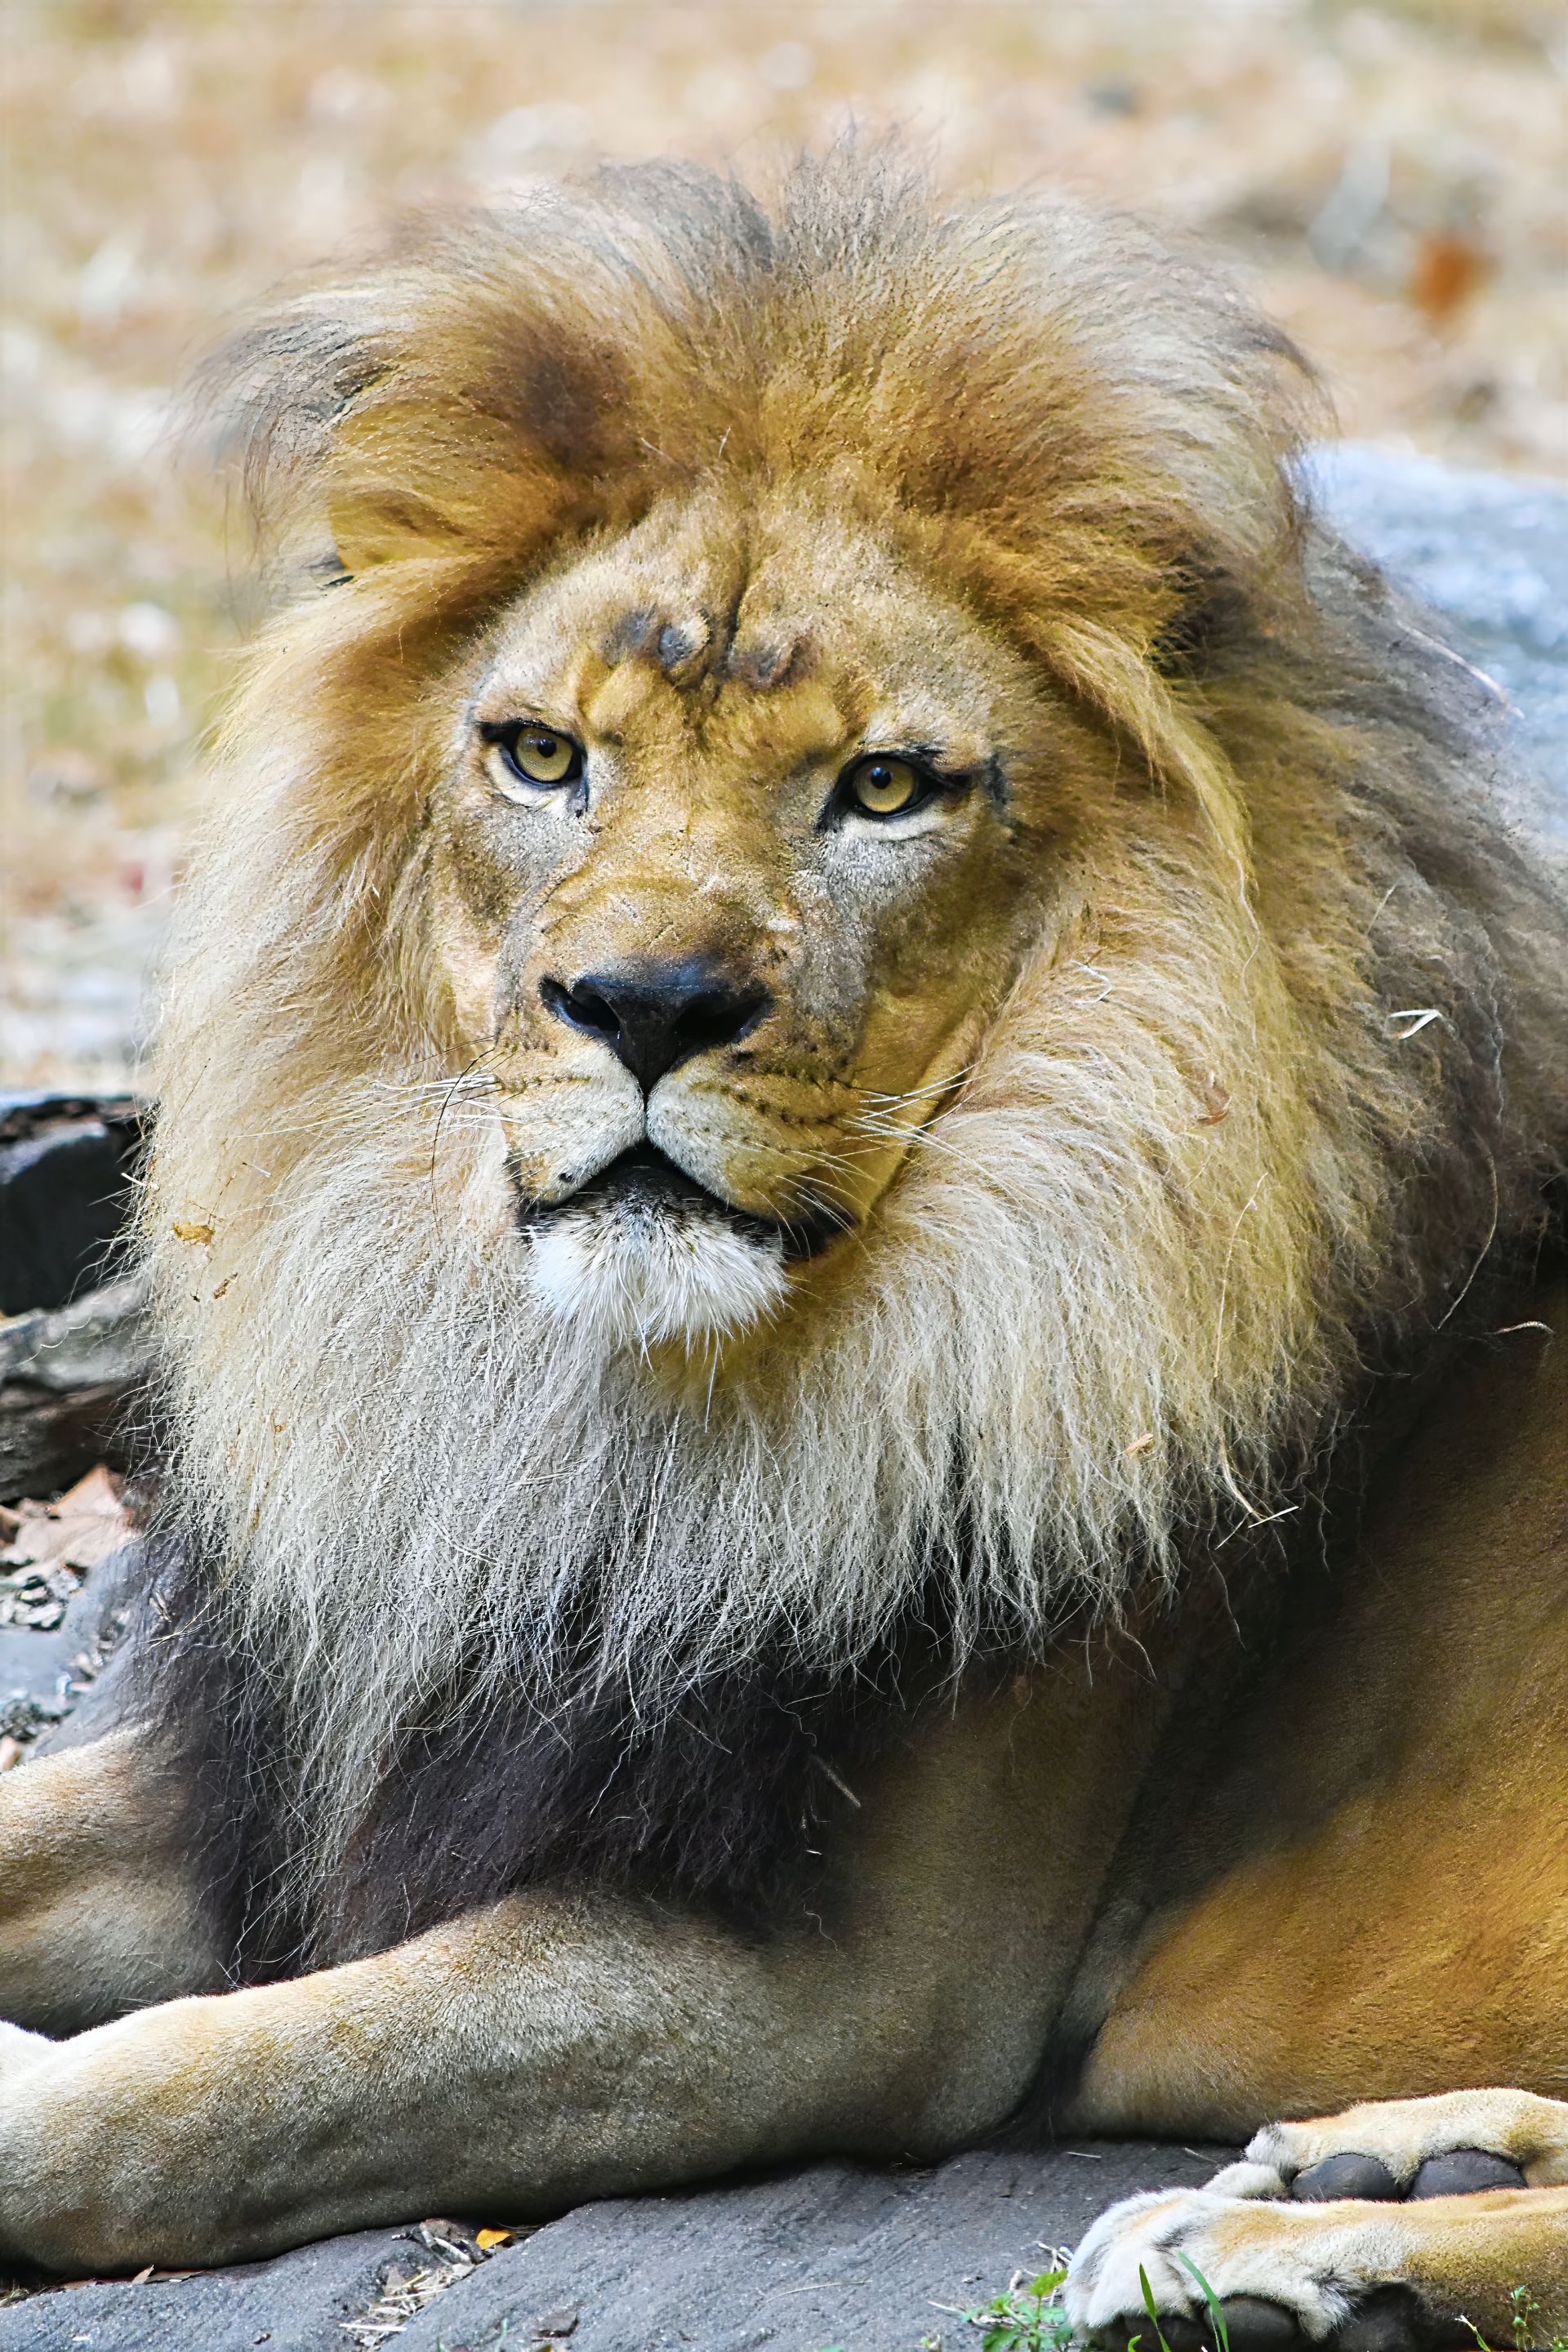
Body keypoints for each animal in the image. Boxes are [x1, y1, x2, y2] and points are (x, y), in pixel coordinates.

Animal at [0, 149, 1564, 2339]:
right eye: (541, 756)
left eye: (886, 788)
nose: (641, 1003)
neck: (584, 1423)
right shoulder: (310, 1766)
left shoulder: (850, 1987)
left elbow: (213, 2078)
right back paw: (1389, 2162)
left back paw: (1298, 2252)